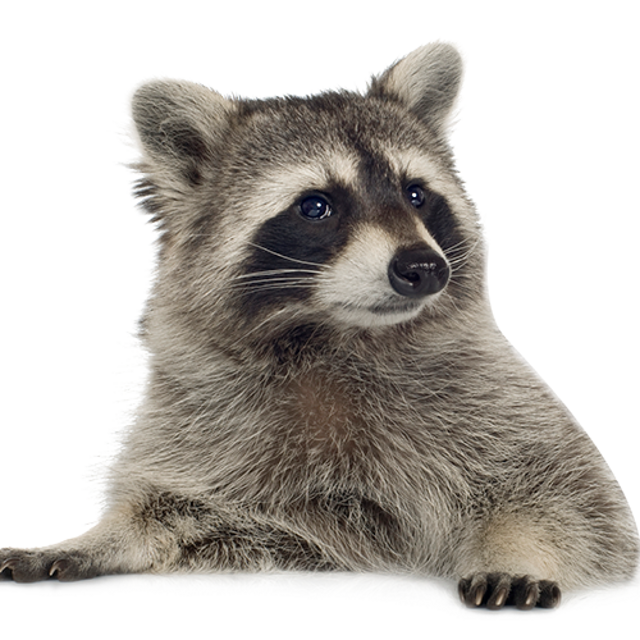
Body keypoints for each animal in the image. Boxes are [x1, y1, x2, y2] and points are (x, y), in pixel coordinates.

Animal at [2, 36, 639, 611]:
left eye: (416, 195)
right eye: (316, 207)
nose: (423, 268)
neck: (335, 334)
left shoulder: (498, 400)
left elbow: (573, 501)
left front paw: (517, 548)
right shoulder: (221, 436)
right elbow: (181, 509)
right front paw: (101, 537)